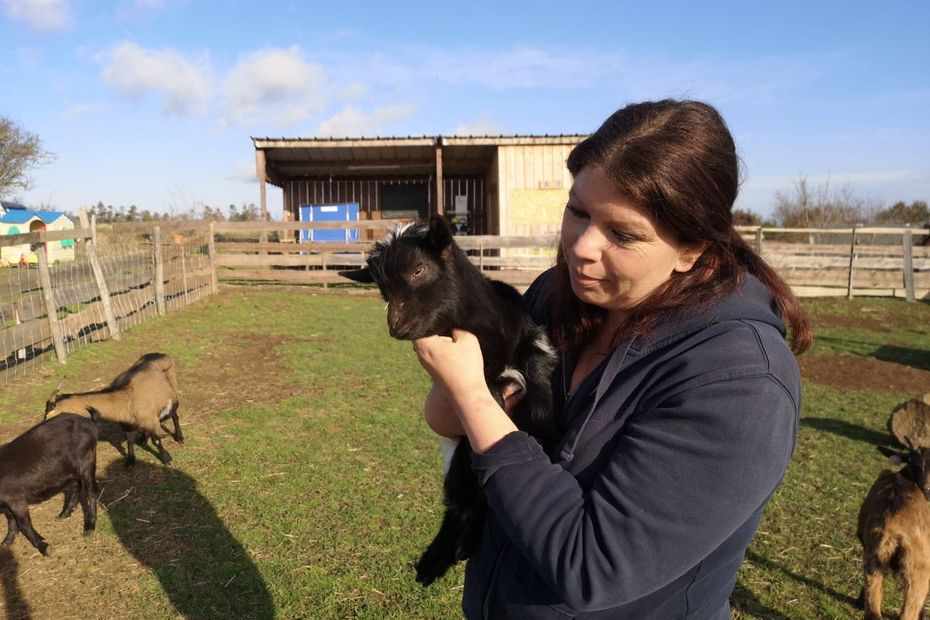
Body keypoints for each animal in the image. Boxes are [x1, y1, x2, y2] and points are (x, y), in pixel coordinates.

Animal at [0, 410, 99, 556]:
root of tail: (89, 422)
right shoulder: (7, 504)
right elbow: (11, 521)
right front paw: (6, 542)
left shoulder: (16, 499)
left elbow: (24, 524)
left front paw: (44, 546)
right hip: (70, 470)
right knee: (76, 486)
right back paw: (64, 513)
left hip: (87, 461)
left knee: (91, 491)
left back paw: (89, 528)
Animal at [45, 352, 182, 468]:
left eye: (51, 414)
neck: (125, 398)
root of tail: (161, 354)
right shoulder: (127, 425)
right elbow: (129, 441)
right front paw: (130, 461)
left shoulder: (151, 420)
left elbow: (157, 440)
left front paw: (167, 459)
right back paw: (143, 440)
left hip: (173, 391)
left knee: (175, 415)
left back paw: (179, 438)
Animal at [340, 214, 560, 588]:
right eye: (382, 289)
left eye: (418, 270)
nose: (396, 327)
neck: (487, 334)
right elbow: (490, 394)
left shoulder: (533, 337)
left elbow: (537, 367)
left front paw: (543, 427)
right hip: (458, 464)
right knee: (461, 503)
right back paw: (437, 560)